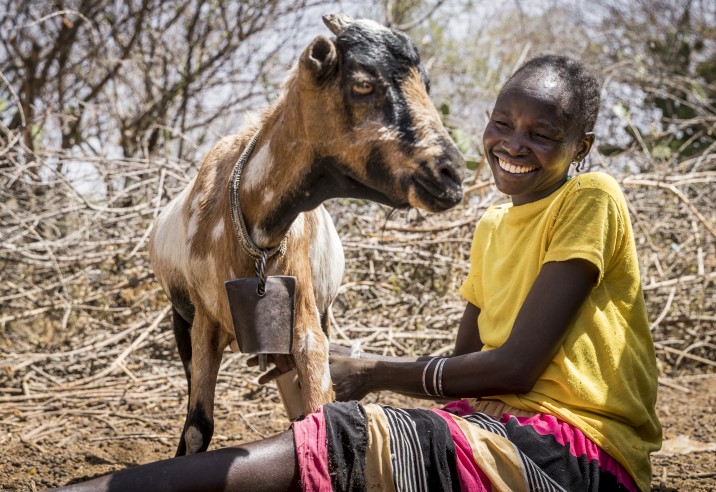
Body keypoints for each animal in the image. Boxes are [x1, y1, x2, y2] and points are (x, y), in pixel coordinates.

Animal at [148, 12, 468, 458]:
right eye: (363, 84)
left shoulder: (305, 317)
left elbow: (319, 407)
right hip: (181, 318)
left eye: (424, 83)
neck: (251, 227)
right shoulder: (202, 321)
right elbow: (197, 427)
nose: (452, 174)